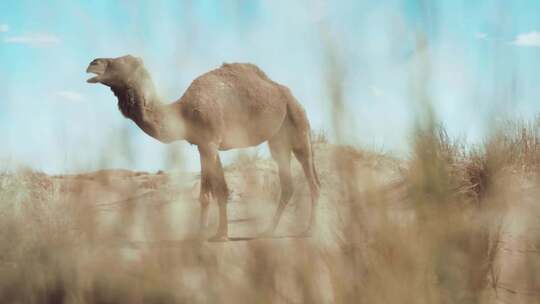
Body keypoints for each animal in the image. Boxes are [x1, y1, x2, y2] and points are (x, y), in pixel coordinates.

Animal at [86, 54, 318, 240]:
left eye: (121, 62)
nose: (92, 64)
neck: (182, 112)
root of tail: (289, 94)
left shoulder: (210, 143)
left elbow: (220, 190)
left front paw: (221, 235)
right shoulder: (202, 144)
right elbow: (206, 194)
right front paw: (200, 234)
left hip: (298, 125)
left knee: (311, 177)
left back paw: (308, 230)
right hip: (278, 140)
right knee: (287, 183)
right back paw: (268, 231)